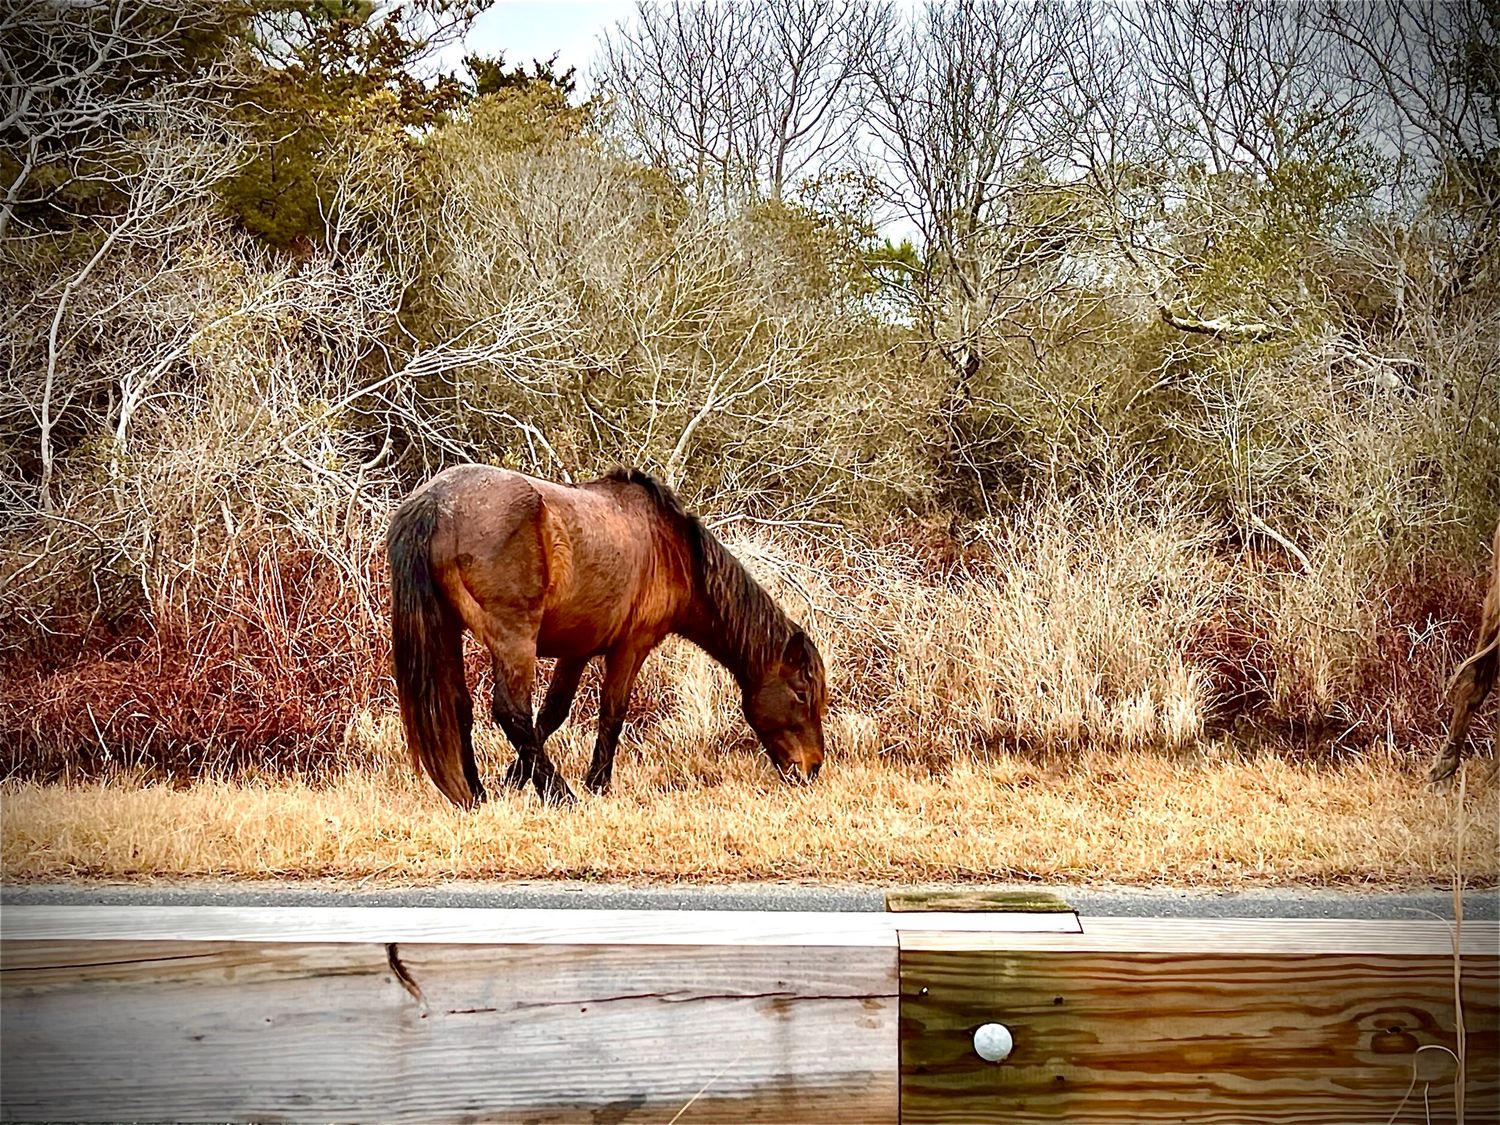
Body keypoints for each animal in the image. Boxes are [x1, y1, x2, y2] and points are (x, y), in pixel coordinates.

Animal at [385, 465, 828, 806]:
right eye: (801, 693)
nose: (812, 767)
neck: (673, 548)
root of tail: (437, 502)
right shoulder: (631, 647)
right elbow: (612, 713)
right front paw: (596, 783)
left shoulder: (577, 649)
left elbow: (553, 713)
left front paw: (514, 779)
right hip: (513, 639)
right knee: (509, 711)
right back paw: (560, 794)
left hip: (449, 630)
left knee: (461, 708)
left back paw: (477, 793)